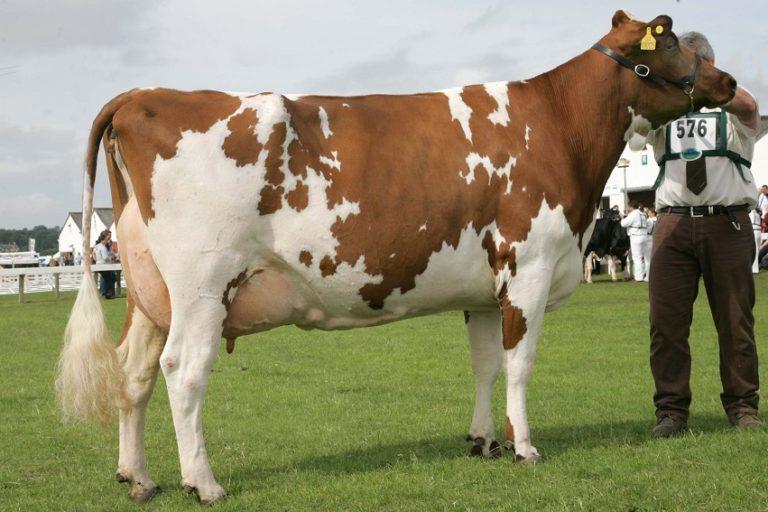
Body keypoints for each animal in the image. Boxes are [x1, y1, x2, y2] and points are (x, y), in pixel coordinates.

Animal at [55, 11, 737, 505]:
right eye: (669, 37)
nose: (728, 82)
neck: (558, 128)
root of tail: (143, 94)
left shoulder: (483, 289)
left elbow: (485, 364)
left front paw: (484, 441)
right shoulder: (530, 268)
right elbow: (519, 365)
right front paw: (524, 447)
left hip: (151, 292)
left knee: (134, 371)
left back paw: (138, 477)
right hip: (202, 283)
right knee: (183, 370)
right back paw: (204, 483)